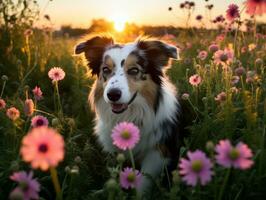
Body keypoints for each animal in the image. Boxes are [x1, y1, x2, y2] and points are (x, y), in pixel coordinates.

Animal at [74, 34, 184, 194]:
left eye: (133, 70)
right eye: (105, 69)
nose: (113, 94)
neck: (130, 116)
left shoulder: (157, 153)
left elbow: (144, 179)